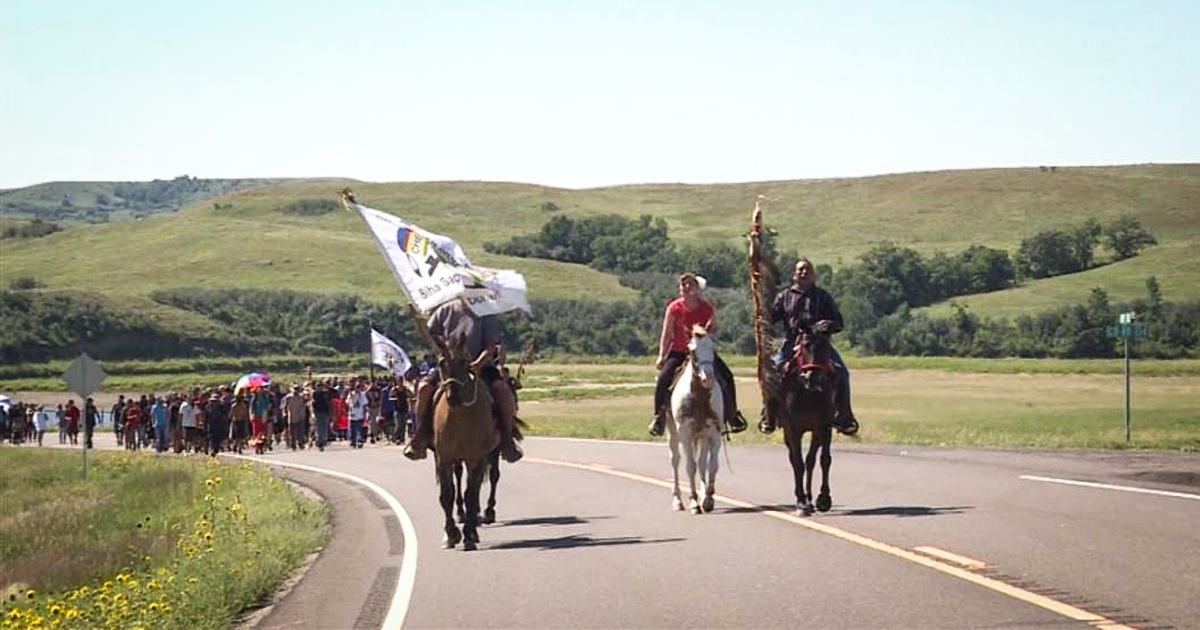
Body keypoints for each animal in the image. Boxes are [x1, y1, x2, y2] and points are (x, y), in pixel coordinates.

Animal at [432, 333, 496, 549]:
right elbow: (446, 495)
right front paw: (450, 534)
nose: (453, 398)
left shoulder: (475, 458)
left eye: (463, 362)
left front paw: (468, 535)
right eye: (441, 362)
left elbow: (470, 494)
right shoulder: (443, 458)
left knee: (479, 486)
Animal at [667, 326, 720, 513]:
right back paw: (677, 501)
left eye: (713, 347)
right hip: (673, 434)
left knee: (702, 462)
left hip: (702, 436)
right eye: (693, 351)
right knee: (675, 461)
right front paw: (694, 502)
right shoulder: (684, 433)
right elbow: (690, 467)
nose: (708, 379)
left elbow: (712, 465)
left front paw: (708, 499)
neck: (699, 397)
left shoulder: (714, 431)